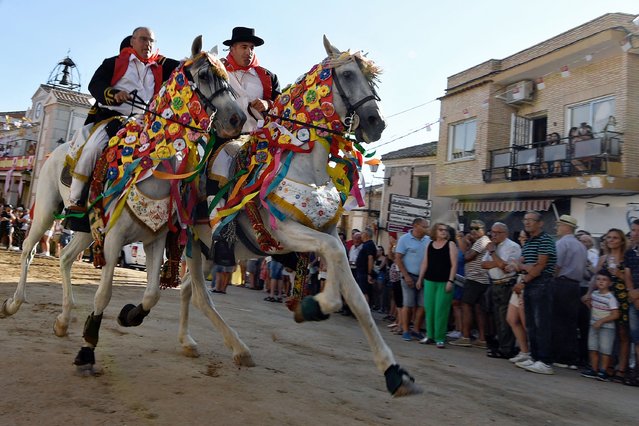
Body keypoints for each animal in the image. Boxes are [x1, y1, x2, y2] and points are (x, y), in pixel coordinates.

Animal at [0, 36, 249, 368]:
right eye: (206, 75)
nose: (238, 119)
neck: (152, 168)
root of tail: (57, 151)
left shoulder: (154, 240)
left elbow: (152, 293)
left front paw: (129, 315)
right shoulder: (114, 238)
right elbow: (103, 294)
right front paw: (88, 346)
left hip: (85, 229)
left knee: (65, 257)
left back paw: (63, 320)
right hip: (45, 209)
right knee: (28, 248)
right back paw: (14, 303)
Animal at [178, 36, 422, 396]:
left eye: (370, 78)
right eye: (347, 75)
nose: (376, 123)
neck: (303, 160)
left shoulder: (328, 231)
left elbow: (357, 297)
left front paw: (394, 372)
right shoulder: (286, 231)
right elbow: (334, 258)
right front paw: (317, 306)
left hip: (213, 253)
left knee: (186, 290)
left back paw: (187, 341)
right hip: (195, 246)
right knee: (199, 296)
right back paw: (238, 348)